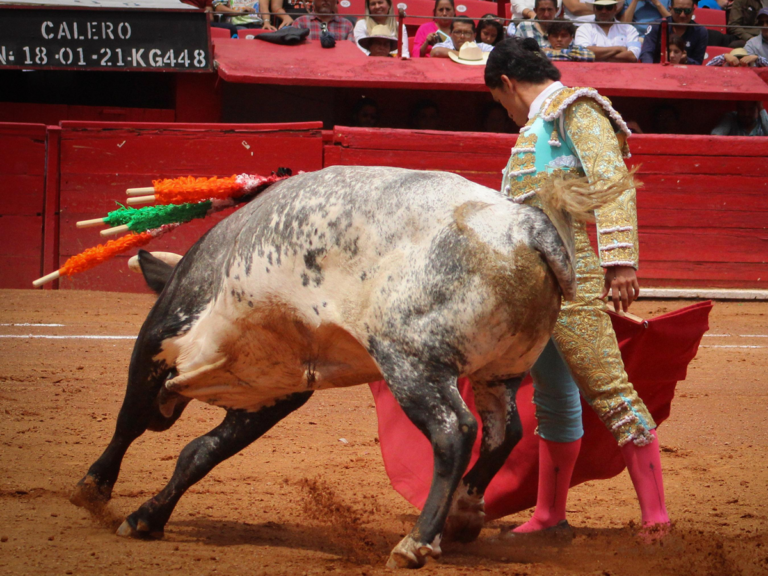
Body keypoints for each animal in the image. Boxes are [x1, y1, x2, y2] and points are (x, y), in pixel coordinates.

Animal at [70, 165, 616, 568]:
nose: (167, 412)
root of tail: (527, 227)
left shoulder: (159, 343)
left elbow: (128, 420)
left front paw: (92, 490)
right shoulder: (277, 392)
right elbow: (199, 453)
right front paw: (147, 517)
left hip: (410, 361)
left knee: (454, 430)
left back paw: (415, 542)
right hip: (500, 371)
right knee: (506, 432)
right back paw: (462, 514)